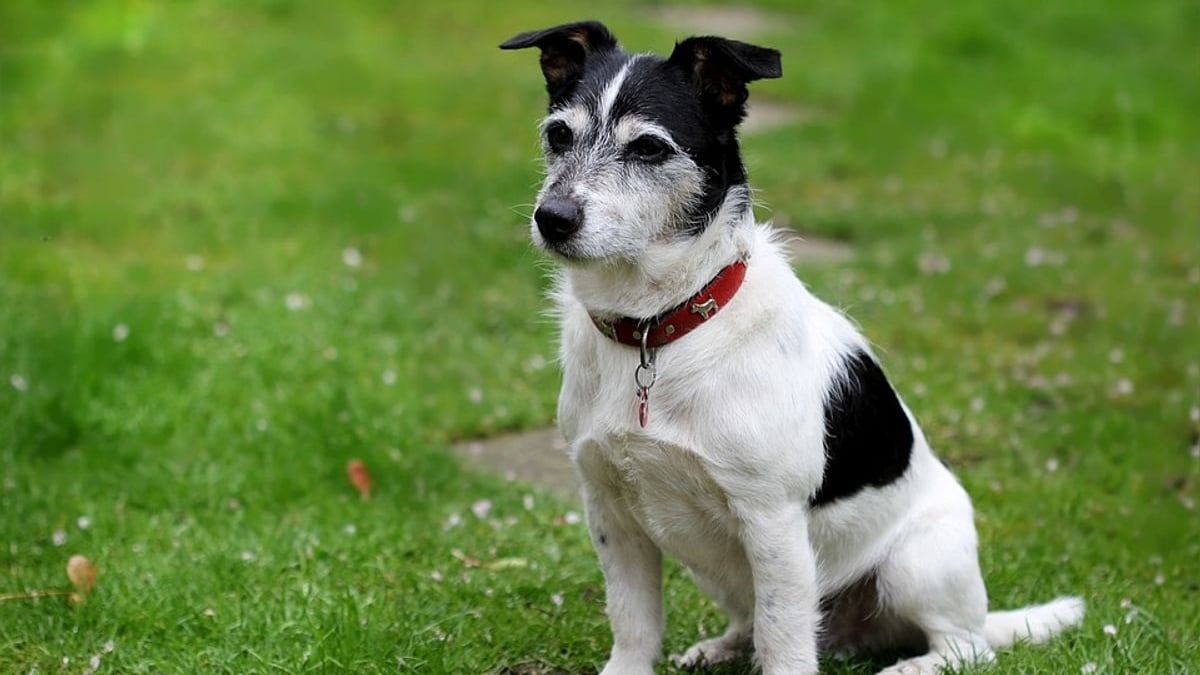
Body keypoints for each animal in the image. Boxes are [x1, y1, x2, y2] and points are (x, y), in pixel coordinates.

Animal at [501, 21, 1084, 672]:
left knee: (965, 646)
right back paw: (722, 646)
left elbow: (783, 636)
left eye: (649, 148)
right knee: (753, 620)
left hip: (917, 565)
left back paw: (912, 664)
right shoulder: (609, 511)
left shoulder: (772, 521)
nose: (552, 217)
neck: (656, 327)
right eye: (558, 134)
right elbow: (633, 620)